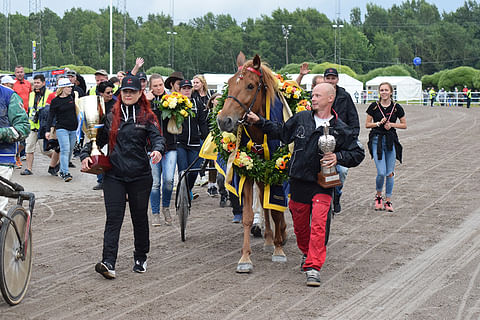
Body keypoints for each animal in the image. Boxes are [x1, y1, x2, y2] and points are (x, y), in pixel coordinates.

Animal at [218, 54, 288, 272]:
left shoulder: (279, 172)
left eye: (250, 85)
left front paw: (279, 249)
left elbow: (278, 210)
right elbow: (248, 216)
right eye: (230, 82)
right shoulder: (247, 172)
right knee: (264, 205)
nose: (223, 120)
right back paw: (268, 239)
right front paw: (245, 258)